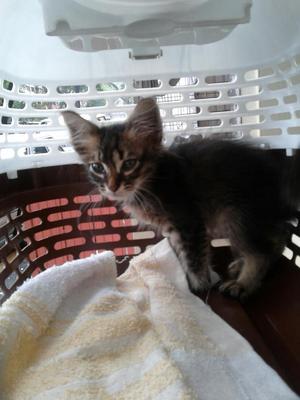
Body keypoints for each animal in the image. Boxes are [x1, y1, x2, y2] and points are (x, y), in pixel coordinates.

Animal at [62, 98, 298, 298]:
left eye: (129, 164)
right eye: (97, 167)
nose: (112, 187)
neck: (150, 182)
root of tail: (278, 175)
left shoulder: (189, 223)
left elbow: (194, 259)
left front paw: (199, 286)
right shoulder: (174, 229)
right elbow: (181, 256)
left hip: (237, 216)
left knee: (259, 253)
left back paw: (243, 284)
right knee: (278, 236)